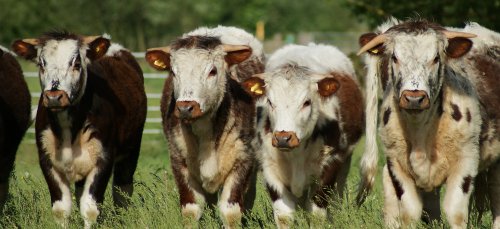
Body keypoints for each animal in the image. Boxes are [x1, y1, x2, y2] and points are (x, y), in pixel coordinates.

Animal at [11, 31, 146, 227]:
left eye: (76, 64)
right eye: (42, 64)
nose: (54, 96)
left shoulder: (104, 158)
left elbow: (90, 209)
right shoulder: (47, 159)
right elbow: (61, 210)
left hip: (131, 150)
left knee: (122, 192)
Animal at [144, 26, 264, 227]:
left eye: (212, 71)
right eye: (173, 72)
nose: (186, 107)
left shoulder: (243, 159)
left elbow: (231, 212)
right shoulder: (179, 160)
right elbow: (191, 211)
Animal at [241, 43, 364, 228]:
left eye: (306, 102)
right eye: (270, 102)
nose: (283, 138)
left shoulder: (330, 164)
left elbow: (317, 214)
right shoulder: (270, 168)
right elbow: (284, 216)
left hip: (345, 163)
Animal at [358, 18, 500, 228]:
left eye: (435, 58)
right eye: (395, 58)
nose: (414, 98)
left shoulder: (466, 161)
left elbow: (455, 212)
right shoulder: (396, 163)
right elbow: (410, 212)